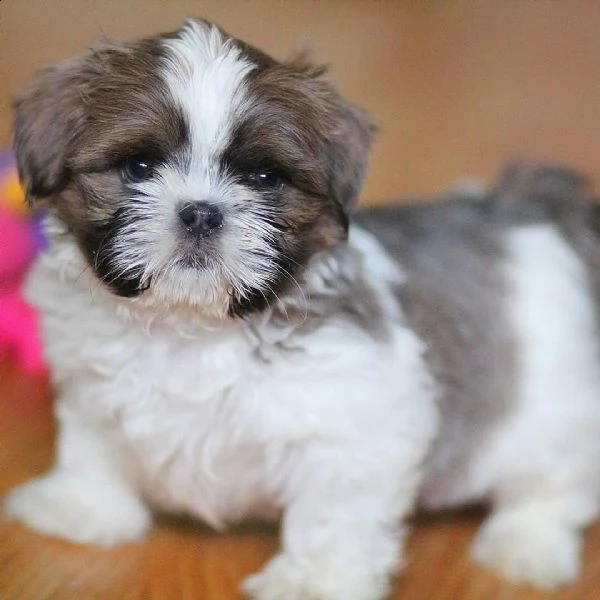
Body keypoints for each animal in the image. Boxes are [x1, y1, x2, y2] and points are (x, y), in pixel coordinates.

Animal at [4, 18, 600, 600]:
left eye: (264, 178)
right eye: (139, 165)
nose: (201, 212)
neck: (191, 324)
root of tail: (533, 209)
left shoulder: (352, 429)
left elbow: (332, 516)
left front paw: (314, 580)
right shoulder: (89, 390)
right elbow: (93, 448)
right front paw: (82, 508)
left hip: (553, 417)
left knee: (554, 484)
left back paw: (525, 544)